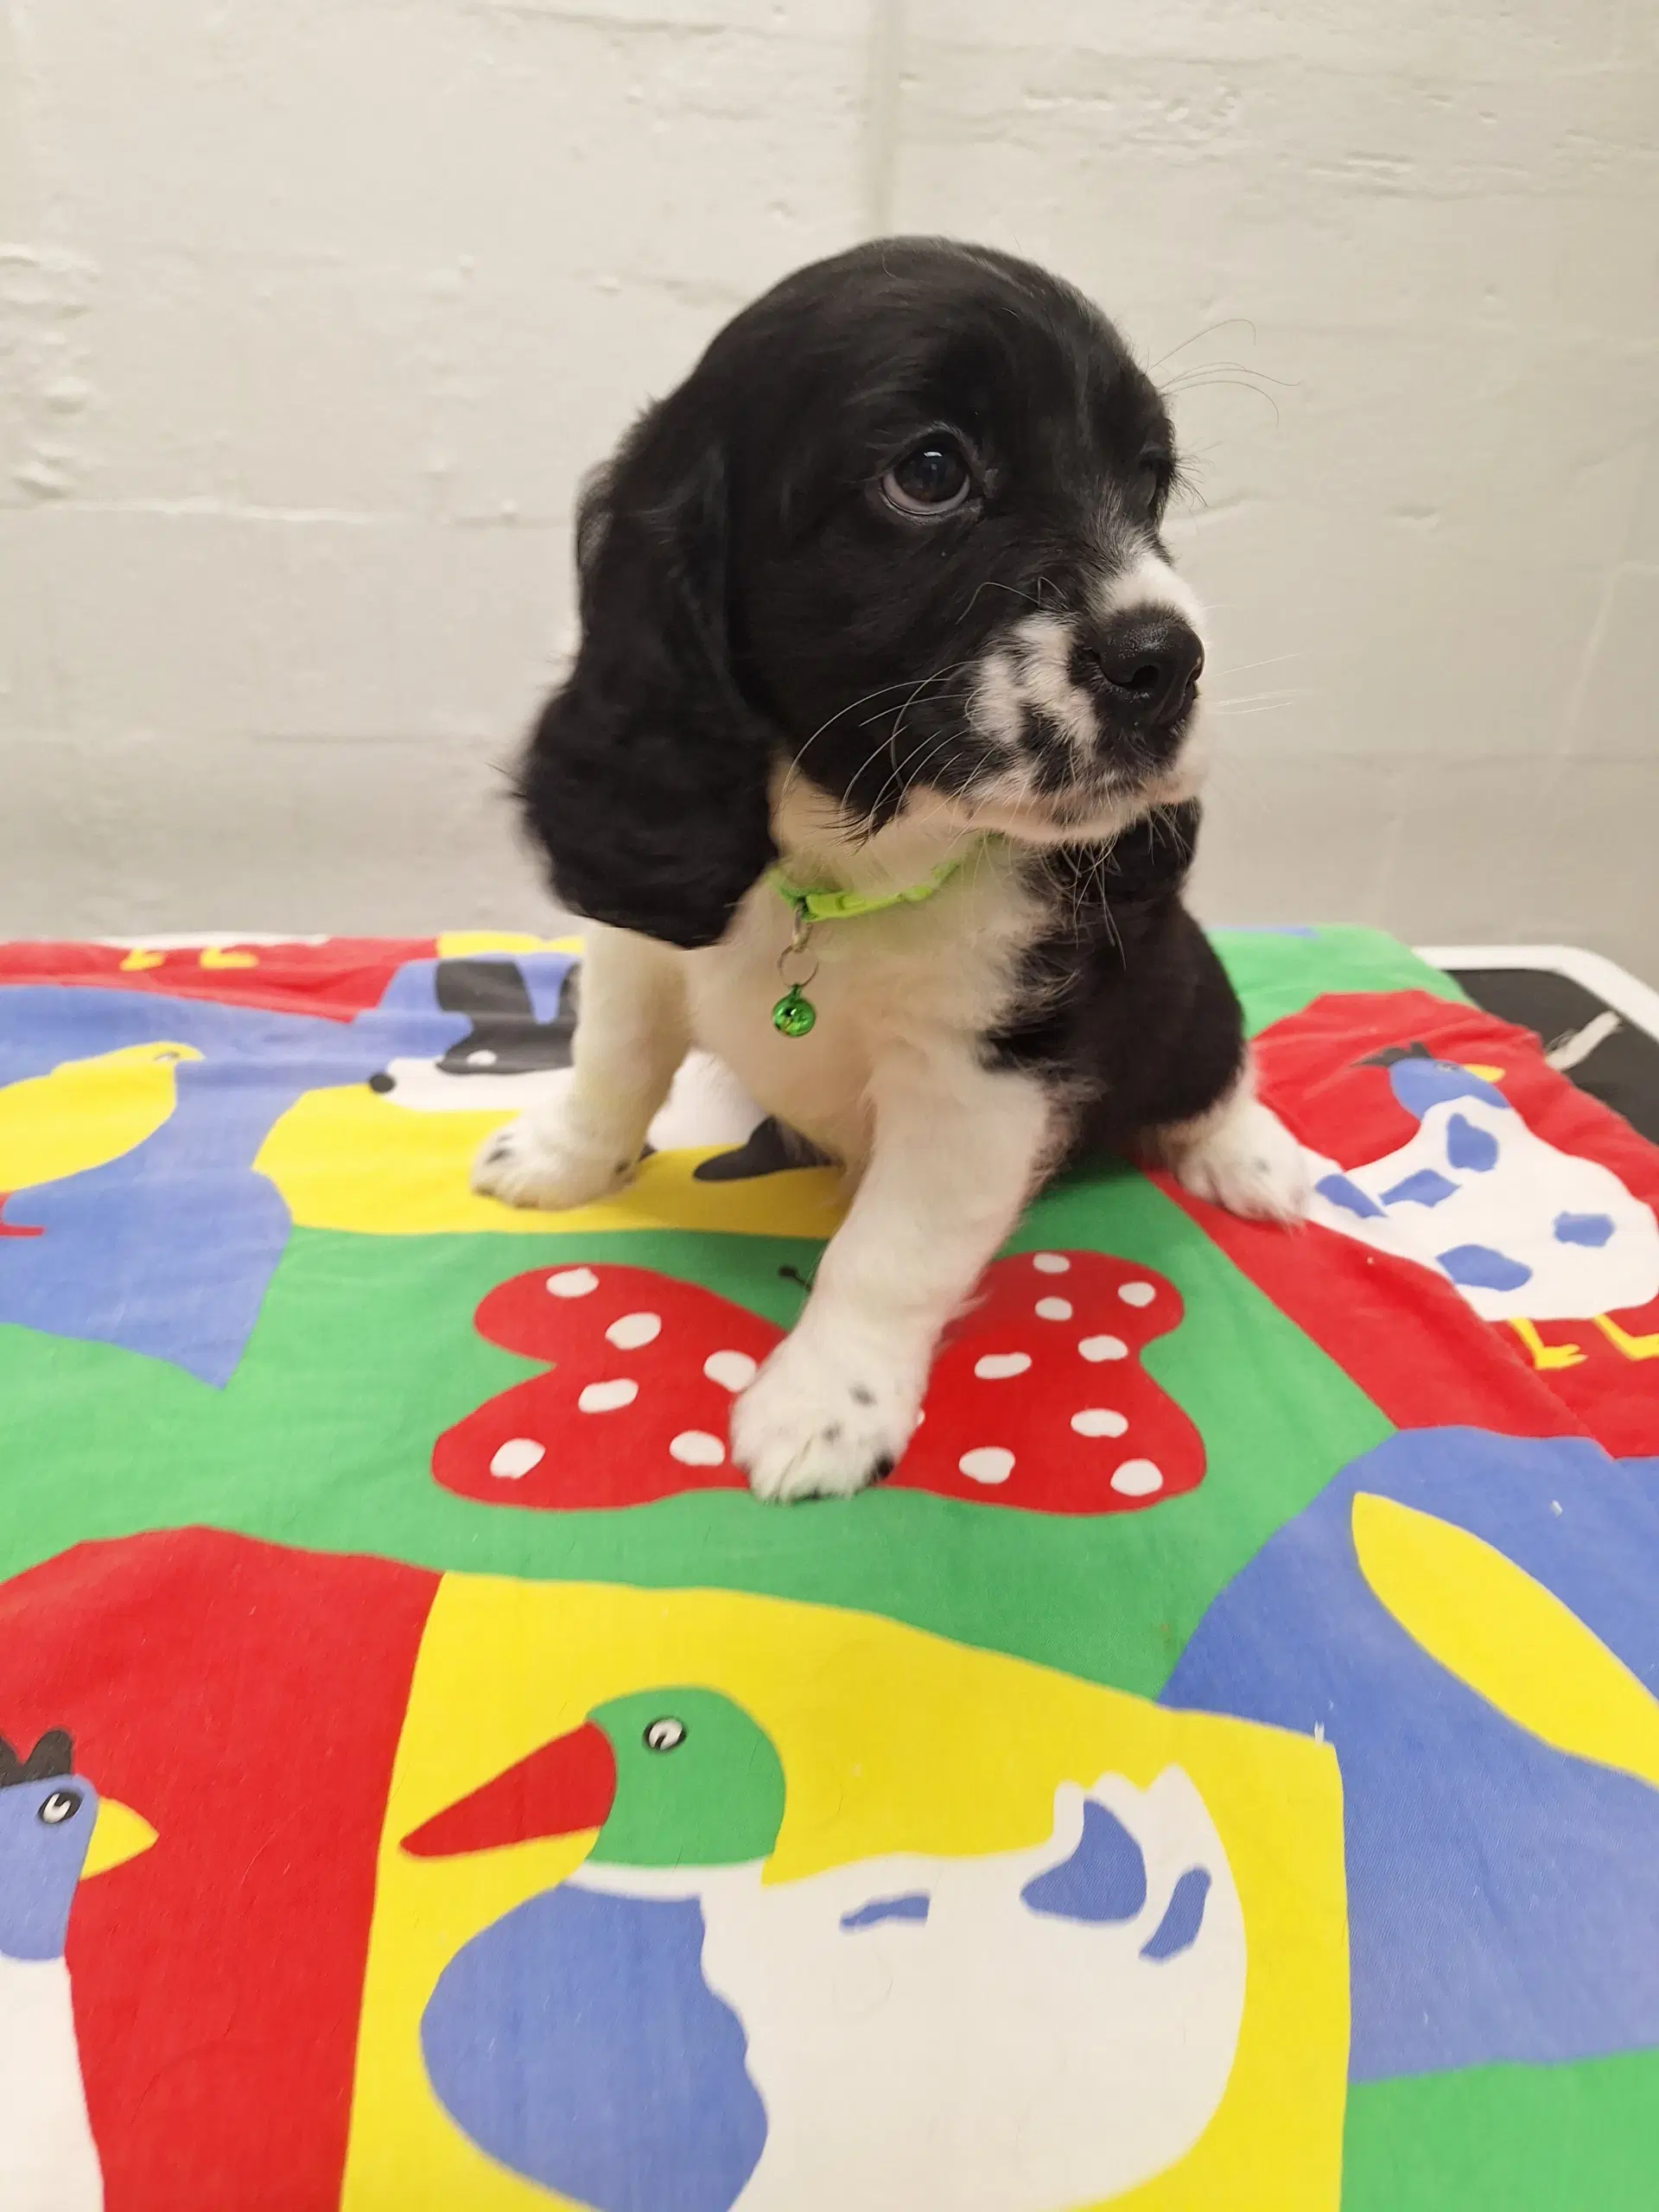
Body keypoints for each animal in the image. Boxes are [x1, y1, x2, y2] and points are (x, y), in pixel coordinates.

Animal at [477, 238, 1309, 1503]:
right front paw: (562, 1157)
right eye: (930, 471)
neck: (846, 868)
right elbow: (612, 1061)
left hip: (1181, 980)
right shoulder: (644, 941)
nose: (1169, 661)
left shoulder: (983, 1076)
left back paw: (1252, 1157)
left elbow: (891, 1248)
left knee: (1215, 1065)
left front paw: (825, 1405)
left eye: (1150, 483)